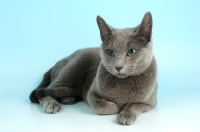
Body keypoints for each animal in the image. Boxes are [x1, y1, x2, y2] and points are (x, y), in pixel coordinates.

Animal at [30, 12, 158, 125]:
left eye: (131, 52)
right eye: (110, 52)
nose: (118, 66)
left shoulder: (151, 102)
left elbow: (134, 105)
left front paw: (126, 115)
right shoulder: (91, 93)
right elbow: (101, 105)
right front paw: (116, 107)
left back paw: (67, 98)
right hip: (75, 65)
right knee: (48, 89)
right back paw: (52, 103)